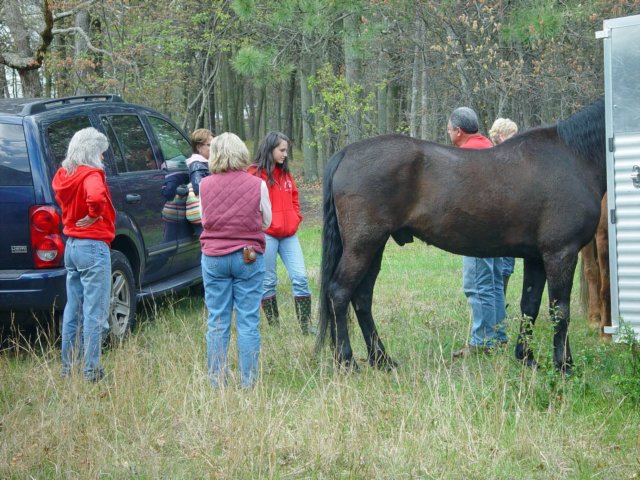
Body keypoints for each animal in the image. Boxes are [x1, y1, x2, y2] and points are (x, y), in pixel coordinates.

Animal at [318, 98, 604, 376]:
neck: (571, 157)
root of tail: (347, 152)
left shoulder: (536, 257)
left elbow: (530, 305)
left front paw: (527, 358)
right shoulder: (561, 252)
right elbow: (560, 310)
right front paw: (564, 366)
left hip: (374, 247)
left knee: (362, 297)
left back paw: (381, 359)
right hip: (362, 246)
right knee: (339, 293)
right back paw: (347, 361)